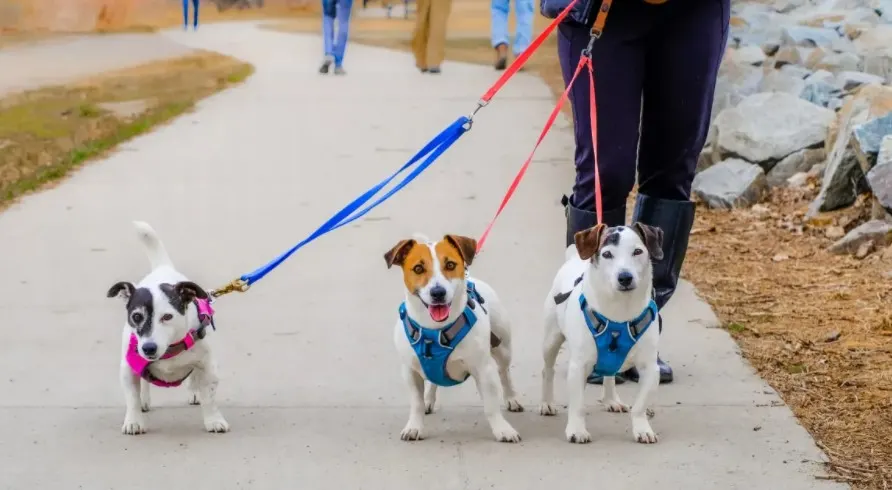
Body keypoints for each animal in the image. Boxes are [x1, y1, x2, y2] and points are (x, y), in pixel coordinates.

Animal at [107, 222, 230, 436]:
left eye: (167, 317)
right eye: (136, 316)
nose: (149, 348)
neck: (169, 349)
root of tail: (162, 268)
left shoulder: (208, 367)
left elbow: (209, 397)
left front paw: (214, 420)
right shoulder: (129, 369)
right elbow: (132, 398)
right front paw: (134, 421)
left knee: (193, 378)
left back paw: (194, 393)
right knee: (143, 384)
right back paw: (144, 401)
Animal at [384, 234, 524, 444]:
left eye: (450, 264)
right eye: (418, 268)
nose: (438, 293)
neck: (436, 331)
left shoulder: (484, 370)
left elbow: (491, 406)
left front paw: (502, 429)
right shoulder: (410, 372)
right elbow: (416, 403)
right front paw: (415, 426)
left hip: (503, 348)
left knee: (504, 372)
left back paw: (511, 398)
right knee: (432, 381)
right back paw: (428, 400)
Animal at [540, 222, 664, 444]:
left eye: (638, 251)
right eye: (607, 254)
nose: (625, 277)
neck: (619, 312)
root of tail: (573, 258)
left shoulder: (650, 368)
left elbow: (640, 405)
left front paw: (642, 429)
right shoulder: (579, 366)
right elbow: (578, 405)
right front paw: (577, 430)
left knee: (610, 374)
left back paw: (611, 399)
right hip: (551, 339)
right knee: (548, 370)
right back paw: (547, 403)